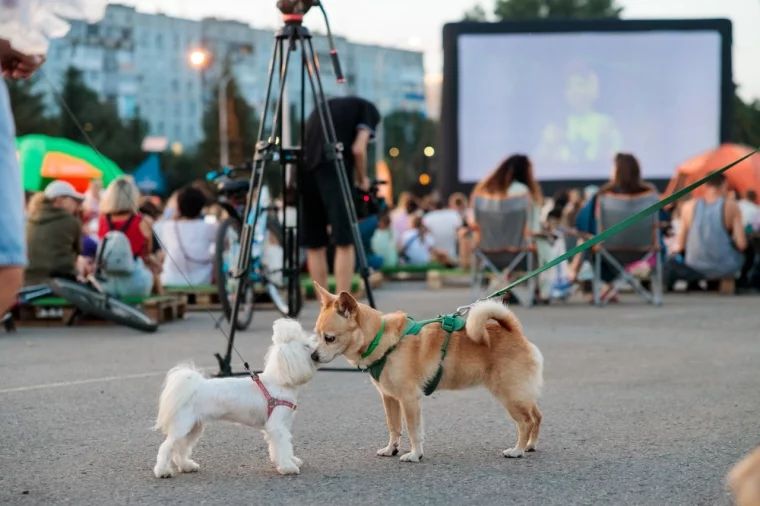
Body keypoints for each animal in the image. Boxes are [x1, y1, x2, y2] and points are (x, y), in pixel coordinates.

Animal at [153, 318, 320, 476]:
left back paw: (187, 466)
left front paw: (291, 460)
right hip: (183, 426)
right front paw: (287, 467)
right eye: (306, 346)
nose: (317, 349)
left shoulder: (281, 426)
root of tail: (193, 387)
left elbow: (284, 446)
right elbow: (283, 447)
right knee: (166, 447)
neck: (279, 380)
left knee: (180, 448)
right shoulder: (277, 426)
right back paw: (162, 471)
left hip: (194, 427)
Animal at [312, 284, 544, 462]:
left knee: (526, 422)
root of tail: (514, 332)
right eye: (316, 335)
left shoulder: (409, 400)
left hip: (510, 396)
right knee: (537, 416)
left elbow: (413, 430)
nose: (313, 356)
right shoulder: (389, 398)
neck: (382, 339)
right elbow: (394, 426)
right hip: (521, 394)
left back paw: (518, 450)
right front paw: (391, 449)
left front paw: (415, 455)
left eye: (329, 338)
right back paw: (530, 445)